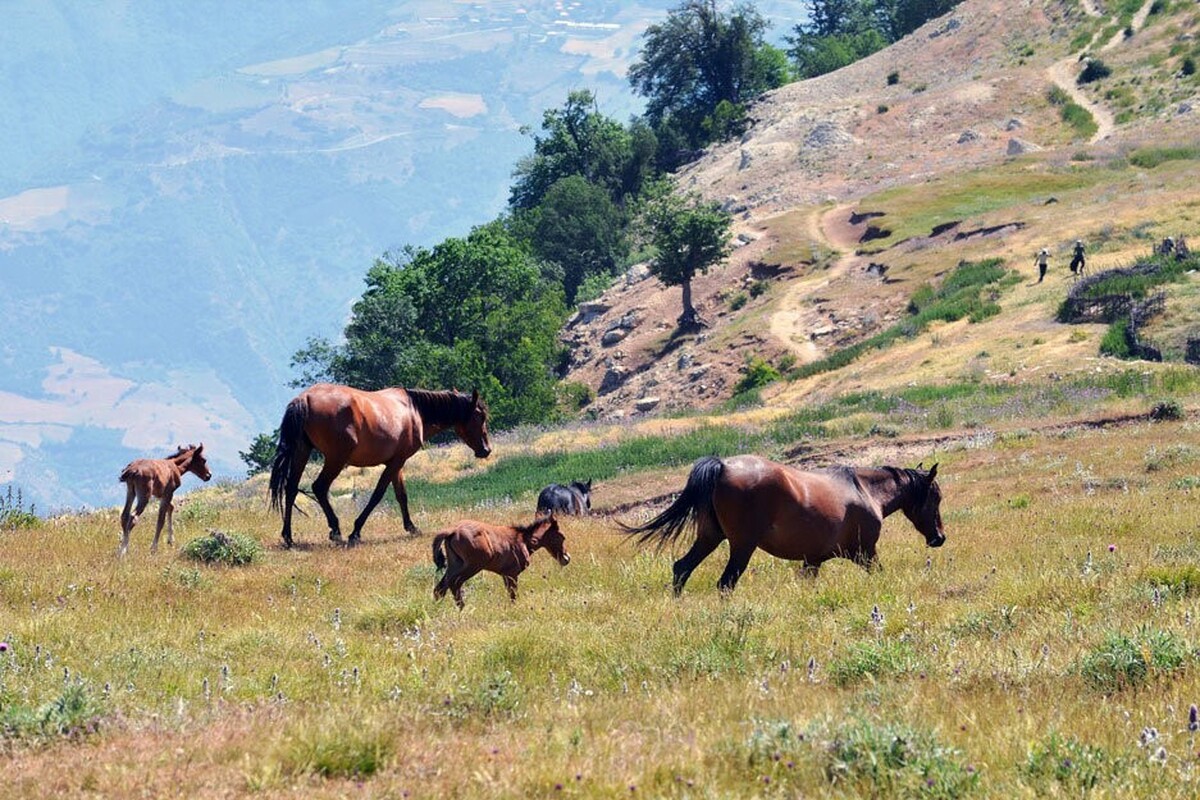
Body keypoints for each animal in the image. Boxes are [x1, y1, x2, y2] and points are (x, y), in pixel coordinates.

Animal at [272, 383, 492, 546]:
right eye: (480, 416)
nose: (486, 450)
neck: (413, 410)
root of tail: (305, 399)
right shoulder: (396, 462)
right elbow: (378, 495)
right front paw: (356, 532)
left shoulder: (397, 463)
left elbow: (402, 495)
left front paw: (411, 527)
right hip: (336, 459)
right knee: (319, 487)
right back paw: (335, 530)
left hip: (302, 452)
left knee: (291, 488)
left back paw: (288, 537)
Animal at [432, 515, 571, 609]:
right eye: (562, 537)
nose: (566, 559)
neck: (523, 541)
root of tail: (453, 530)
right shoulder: (512, 574)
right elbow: (513, 595)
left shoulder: (505, 574)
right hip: (472, 566)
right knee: (454, 583)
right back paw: (462, 608)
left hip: (455, 564)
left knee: (440, 587)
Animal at [619, 455, 945, 594]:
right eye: (936, 497)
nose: (939, 538)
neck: (864, 490)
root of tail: (721, 465)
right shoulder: (865, 552)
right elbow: (879, 574)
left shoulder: (813, 561)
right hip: (742, 546)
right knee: (725, 583)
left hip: (710, 537)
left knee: (682, 568)